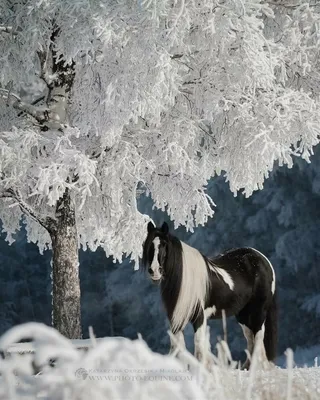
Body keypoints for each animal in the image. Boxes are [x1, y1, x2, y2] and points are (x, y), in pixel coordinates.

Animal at [142, 222, 278, 368]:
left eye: (164, 245)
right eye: (148, 245)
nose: (154, 271)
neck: (185, 279)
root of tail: (263, 259)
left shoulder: (199, 317)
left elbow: (199, 346)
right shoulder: (175, 317)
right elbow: (177, 346)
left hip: (258, 311)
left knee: (258, 337)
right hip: (243, 314)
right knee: (250, 338)